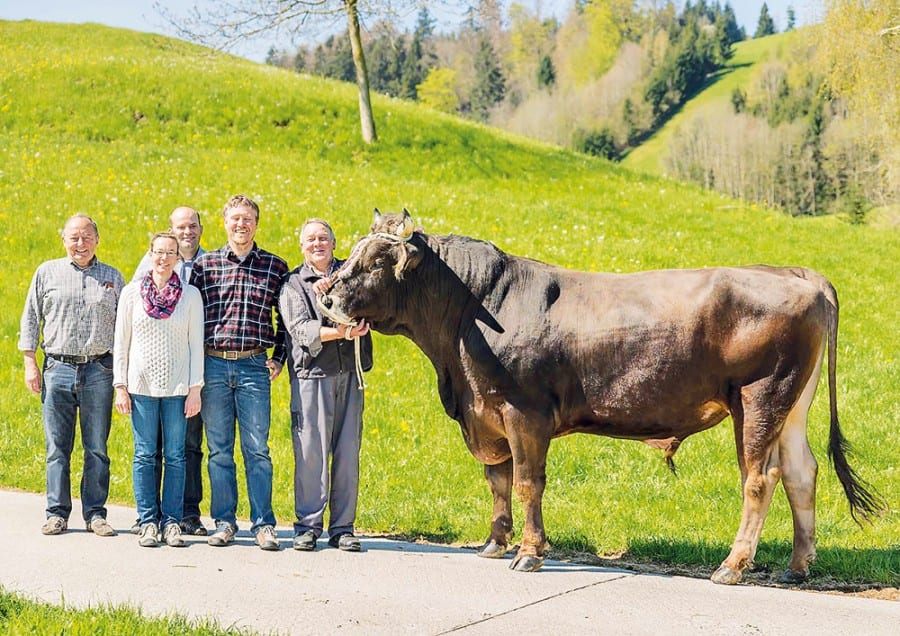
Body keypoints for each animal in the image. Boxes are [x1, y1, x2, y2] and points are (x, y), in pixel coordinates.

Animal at [320, 211, 884, 584]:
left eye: (375, 261)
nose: (326, 295)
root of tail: (794, 272)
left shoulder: (524, 413)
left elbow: (526, 484)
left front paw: (529, 553)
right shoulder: (485, 413)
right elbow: (498, 482)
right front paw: (494, 544)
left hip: (761, 396)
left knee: (760, 477)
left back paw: (733, 565)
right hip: (793, 403)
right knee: (801, 472)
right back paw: (798, 566)